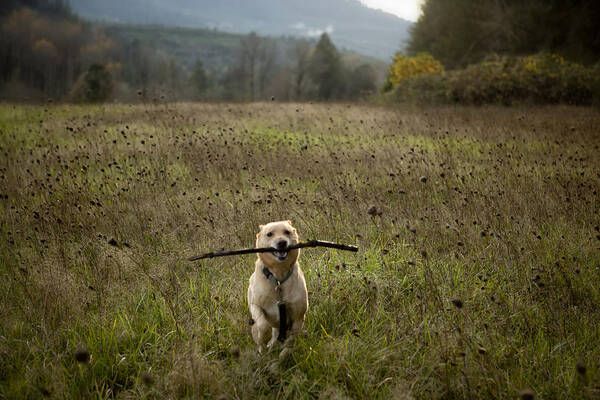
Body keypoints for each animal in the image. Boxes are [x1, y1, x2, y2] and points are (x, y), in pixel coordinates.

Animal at [246, 222, 308, 356]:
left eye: (287, 232)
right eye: (270, 234)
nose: (282, 243)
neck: (278, 278)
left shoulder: (298, 317)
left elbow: (291, 340)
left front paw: (284, 355)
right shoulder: (255, 305)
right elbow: (263, 325)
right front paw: (264, 340)